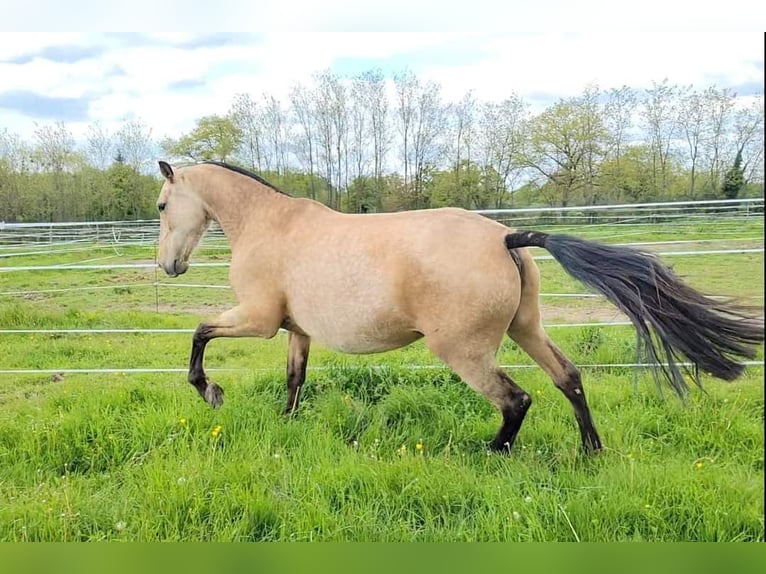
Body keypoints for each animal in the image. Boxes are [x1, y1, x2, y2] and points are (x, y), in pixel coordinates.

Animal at [153, 161, 764, 454]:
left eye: (161, 205)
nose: (168, 266)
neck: (268, 226)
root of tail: (506, 237)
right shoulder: (294, 329)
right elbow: (294, 378)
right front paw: (287, 423)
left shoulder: (257, 320)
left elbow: (200, 333)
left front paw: (210, 392)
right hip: (526, 329)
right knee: (569, 377)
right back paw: (591, 450)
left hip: (464, 351)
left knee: (517, 399)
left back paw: (492, 453)